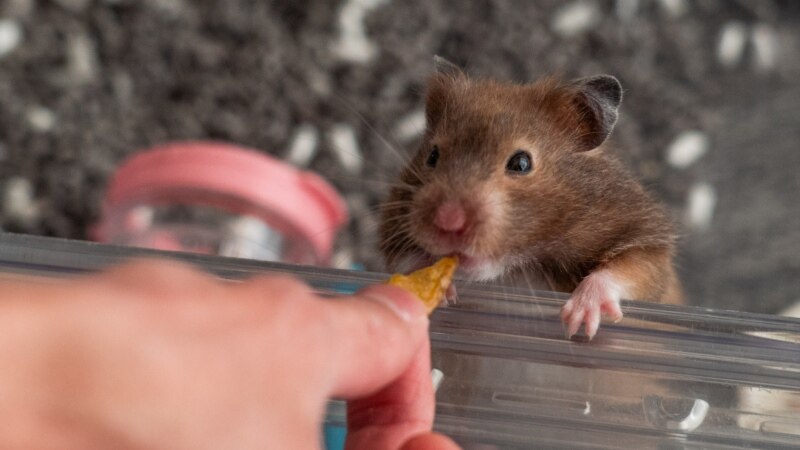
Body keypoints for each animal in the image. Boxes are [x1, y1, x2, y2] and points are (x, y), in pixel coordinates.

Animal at [378, 58, 680, 340]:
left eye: (521, 163)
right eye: (432, 156)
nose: (448, 220)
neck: (518, 268)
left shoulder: (647, 240)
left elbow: (632, 270)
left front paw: (577, 321)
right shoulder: (393, 228)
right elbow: (402, 258)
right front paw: (435, 287)